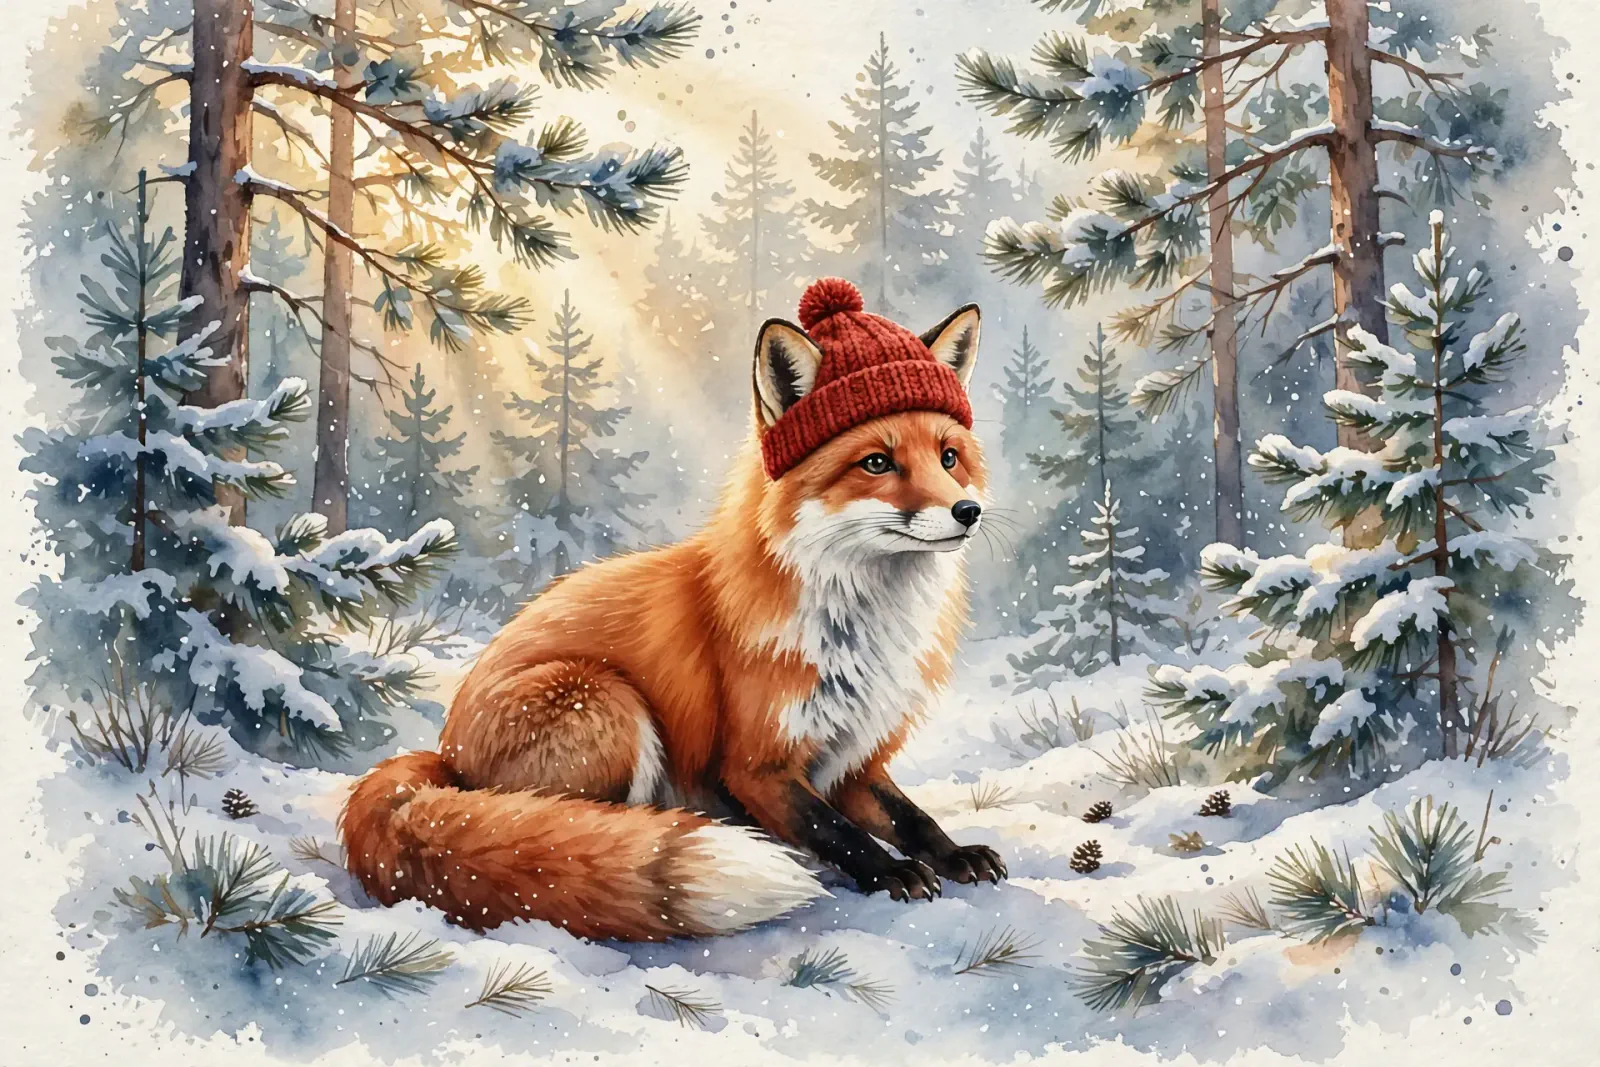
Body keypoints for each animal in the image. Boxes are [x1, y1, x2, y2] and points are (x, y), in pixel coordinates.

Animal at [340, 278, 1004, 941]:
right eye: (877, 463)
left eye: (949, 458)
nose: (967, 512)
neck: (862, 626)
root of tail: (446, 755)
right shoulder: (757, 766)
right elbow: (838, 832)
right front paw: (891, 873)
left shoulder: (854, 758)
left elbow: (910, 818)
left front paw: (956, 855)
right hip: (604, 699)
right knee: (572, 830)